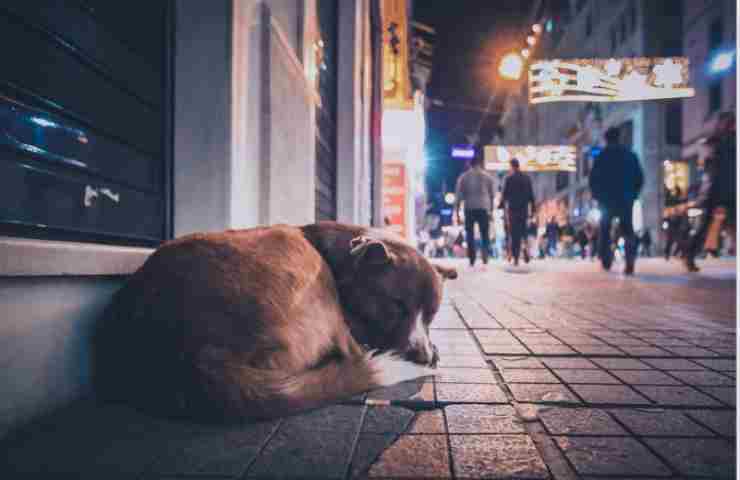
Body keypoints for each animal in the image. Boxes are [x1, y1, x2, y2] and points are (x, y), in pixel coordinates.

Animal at [94, 220, 454, 420]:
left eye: (432, 315)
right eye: (397, 305)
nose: (422, 355)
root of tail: (198, 357)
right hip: (300, 255)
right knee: (352, 351)